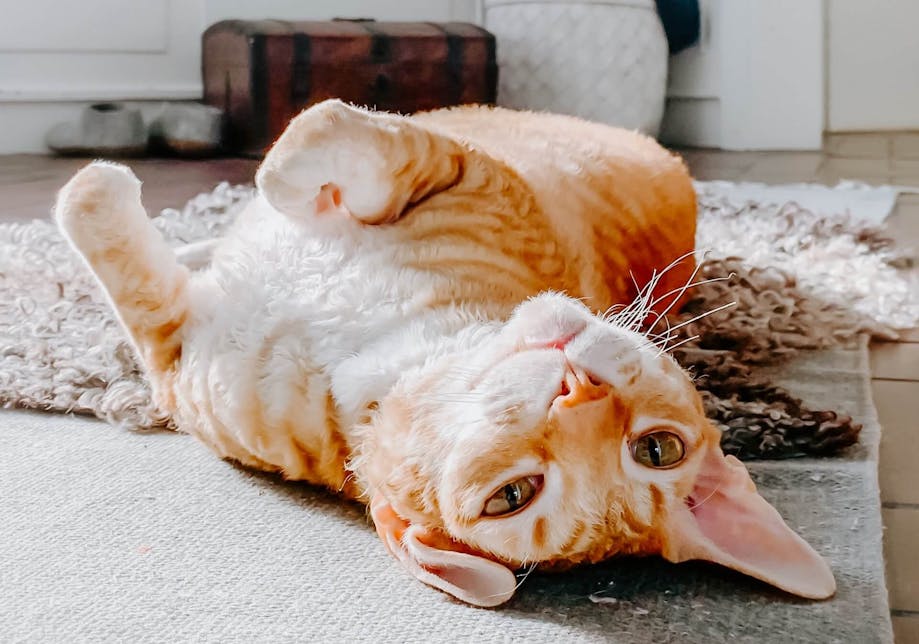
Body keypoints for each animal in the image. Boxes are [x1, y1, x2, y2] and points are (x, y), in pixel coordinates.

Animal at [54, 99, 836, 604]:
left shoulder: (172, 353)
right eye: (660, 448)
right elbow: (318, 136)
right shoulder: (464, 168)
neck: (377, 348)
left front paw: (101, 186)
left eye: (511, 498)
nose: (577, 392)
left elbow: (118, 236)